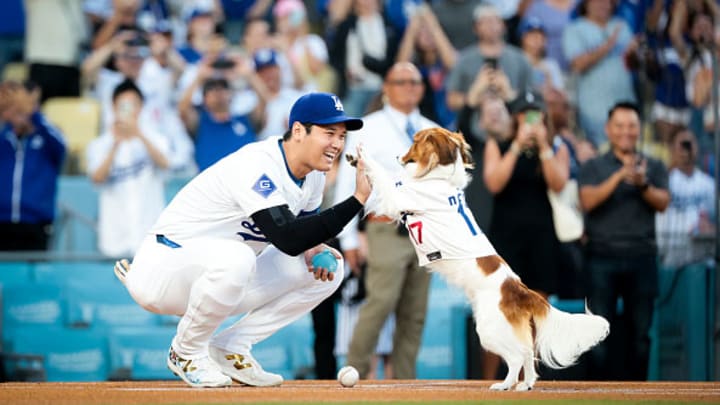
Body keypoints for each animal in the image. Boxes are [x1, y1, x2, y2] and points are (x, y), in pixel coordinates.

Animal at [352, 128, 612, 390]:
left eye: (415, 142)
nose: (398, 156)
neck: (440, 178)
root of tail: (521, 290)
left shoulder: (397, 196)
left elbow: (381, 175)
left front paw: (362, 154)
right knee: (527, 352)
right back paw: (525, 385)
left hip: (489, 330)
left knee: (516, 356)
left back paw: (504, 385)